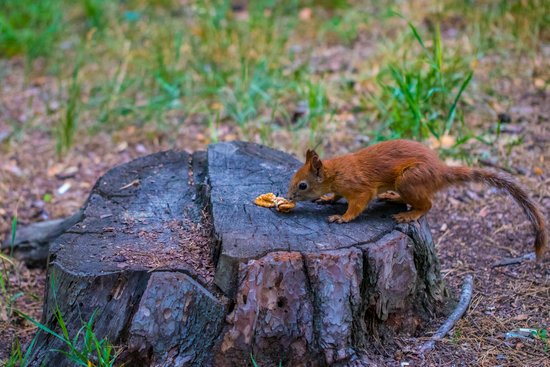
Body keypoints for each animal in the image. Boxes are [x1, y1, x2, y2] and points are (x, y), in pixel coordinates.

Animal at [288, 139, 548, 262]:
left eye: (303, 185)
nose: (289, 197)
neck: (335, 173)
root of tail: (440, 171)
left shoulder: (360, 188)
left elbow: (358, 205)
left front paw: (342, 218)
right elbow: (337, 196)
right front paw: (327, 199)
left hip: (409, 179)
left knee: (428, 205)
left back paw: (409, 213)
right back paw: (392, 196)